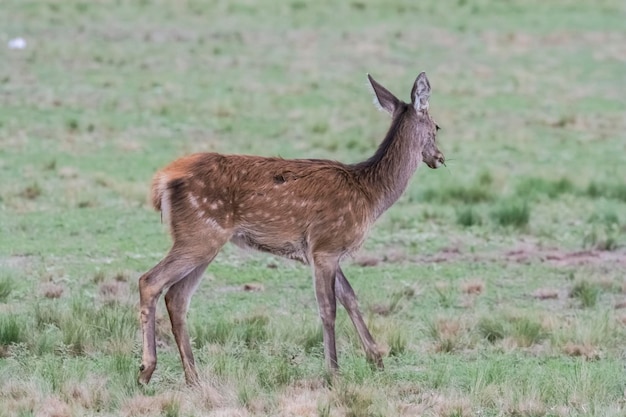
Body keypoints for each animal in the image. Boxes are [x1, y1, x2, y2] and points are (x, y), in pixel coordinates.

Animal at [138, 71, 444, 384]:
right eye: (437, 126)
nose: (439, 157)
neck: (370, 196)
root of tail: (162, 181)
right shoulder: (326, 245)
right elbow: (328, 307)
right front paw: (334, 372)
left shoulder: (323, 250)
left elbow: (350, 297)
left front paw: (376, 360)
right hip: (199, 233)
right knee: (150, 281)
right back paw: (146, 369)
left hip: (204, 240)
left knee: (177, 296)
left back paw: (194, 377)